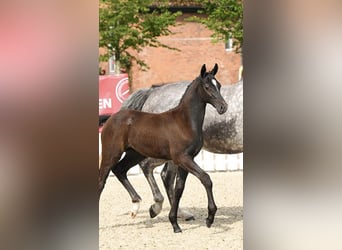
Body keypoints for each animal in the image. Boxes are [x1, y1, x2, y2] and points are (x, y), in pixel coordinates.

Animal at [99, 64, 227, 232]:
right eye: (207, 86)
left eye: (218, 85)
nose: (223, 107)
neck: (185, 121)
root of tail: (110, 118)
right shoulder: (182, 158)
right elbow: (206, 179)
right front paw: (210, 218)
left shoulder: (186, 159)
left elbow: (179, 188)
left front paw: (175, 223)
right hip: (111, 153)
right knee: (102, 180)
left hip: (134, 154)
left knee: (120, 170)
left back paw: (136, 206)